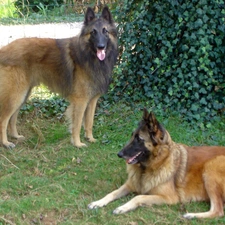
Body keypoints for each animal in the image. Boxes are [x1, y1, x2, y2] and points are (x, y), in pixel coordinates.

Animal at [88, 110, 225, 219]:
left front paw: (123, 207)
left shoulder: (169, 198)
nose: (119, 154)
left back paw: (191, 215)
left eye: (139, 139)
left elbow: (139, 197)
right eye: (132, 136)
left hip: (211, 166)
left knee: (218, 210)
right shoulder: (130, 185)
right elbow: (112, 193)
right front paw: (98, 202)